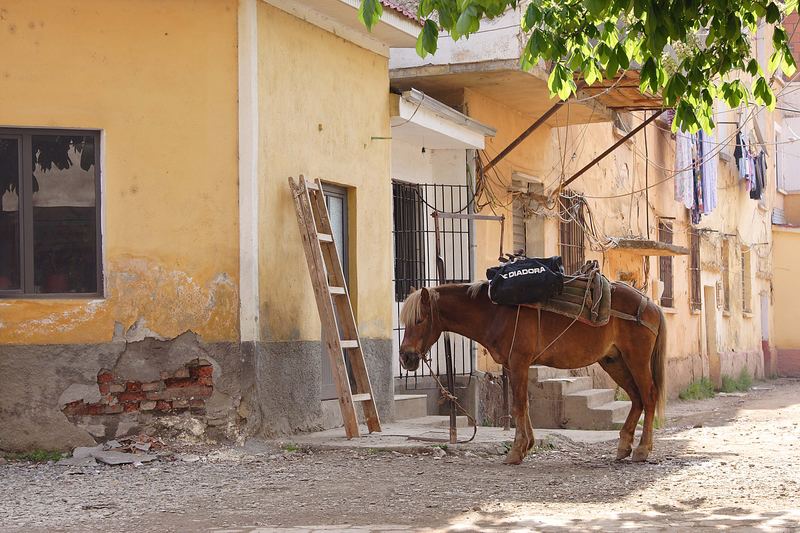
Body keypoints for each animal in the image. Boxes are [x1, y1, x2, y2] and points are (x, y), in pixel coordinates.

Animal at [400, 280, 668, 464]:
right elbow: (524, 405)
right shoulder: (514, 366)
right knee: (636, 399)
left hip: (636, 360)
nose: (406, 357)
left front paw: (516, 450)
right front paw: (526, 445)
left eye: (419, 320)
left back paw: (642, 449)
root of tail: (651, 305)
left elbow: (519, 405)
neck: (496, 312)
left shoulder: (519, 362)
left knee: (649, 396)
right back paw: (624, 446)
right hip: (614, 361)